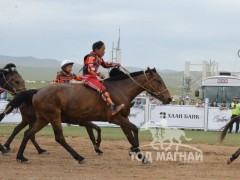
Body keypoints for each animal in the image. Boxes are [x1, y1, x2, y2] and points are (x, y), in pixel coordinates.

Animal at [1, 67, 171, 163]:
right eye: (158, 81)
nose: (169, 98)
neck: (119, 89)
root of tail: (37, 92)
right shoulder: (115, 118)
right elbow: (134, 129)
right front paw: (135, 150)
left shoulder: (122, 118)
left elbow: (129, 134)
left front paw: (138, 154)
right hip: (53, 117)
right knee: (59, 138)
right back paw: (79, 157)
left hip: (42, 119)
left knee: (27, 133)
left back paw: (21, 156)